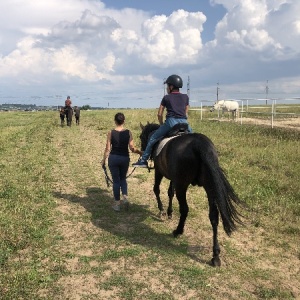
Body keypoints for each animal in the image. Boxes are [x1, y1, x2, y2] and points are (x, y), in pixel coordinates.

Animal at [139, 123, 245, 266]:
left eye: (141, 136)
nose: (142, 150)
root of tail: (199, 144)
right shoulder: (174, 179)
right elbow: (170, 192)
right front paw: (169, 212)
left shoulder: (160, 172)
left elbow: (157, 189)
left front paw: (162, 210)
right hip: (209, 186)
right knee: (214, 216)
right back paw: (215, 255)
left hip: (182, 185)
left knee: (184, 209)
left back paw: (178, 231)